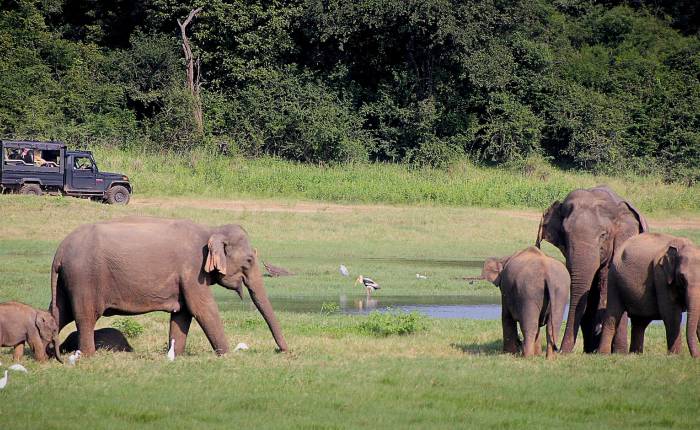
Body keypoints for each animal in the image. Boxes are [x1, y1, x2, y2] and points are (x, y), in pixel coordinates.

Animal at [50, 218, 288, 356]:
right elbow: (202, 309)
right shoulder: (193, 270)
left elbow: (183, 314)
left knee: (59, 313)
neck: (211, 230)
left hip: (67, 281)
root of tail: (59, 251)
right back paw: (88, 356)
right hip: (84, 278)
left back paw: (49, 354)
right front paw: (228, 355)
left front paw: (176, 355)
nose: (282, 351)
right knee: (85, 316)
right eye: (249, 260)